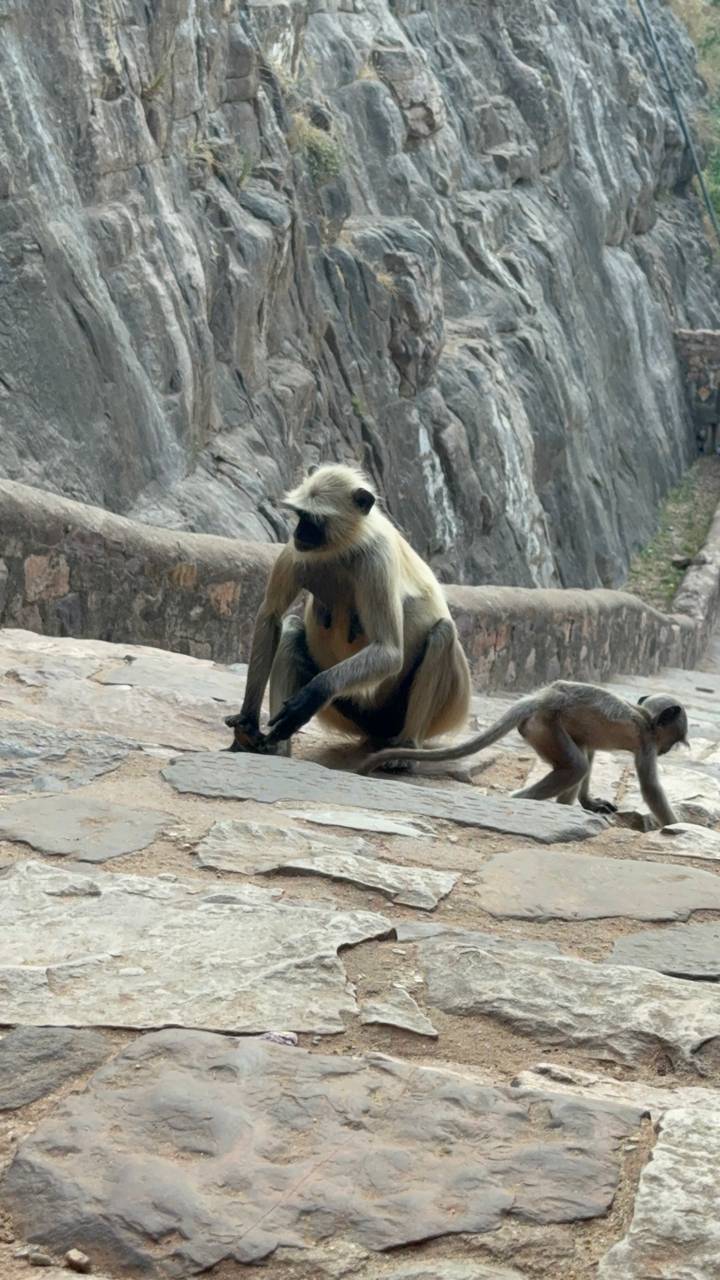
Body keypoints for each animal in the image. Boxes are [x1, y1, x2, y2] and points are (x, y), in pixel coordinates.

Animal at [224, 463, 472, 758]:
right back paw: (277, 748)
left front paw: (313, 694)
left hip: (435, 709)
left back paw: (407, 748)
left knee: (443, 632)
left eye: (314, 521)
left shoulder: (376, 559)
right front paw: (248, 721)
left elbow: (389, 651)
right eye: (300, 516)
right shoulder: (295, 551)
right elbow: (271, 617)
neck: (343, 547)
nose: (299, 533)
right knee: (292, 629)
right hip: (347, 710)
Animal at [359, 680, 689, 828]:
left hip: (543, 728)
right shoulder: (647, 744)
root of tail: (547, 695)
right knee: (577, 766)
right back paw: (519, 801)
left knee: (580, 759)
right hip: (545, 726)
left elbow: (592, 750)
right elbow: (650, 788)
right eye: (671, 742)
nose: (667, 750)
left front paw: (590, 803)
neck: (645, 718)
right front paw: (677, 826)